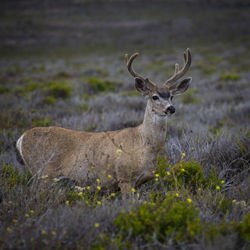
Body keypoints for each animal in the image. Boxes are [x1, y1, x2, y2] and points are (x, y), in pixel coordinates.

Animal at [16, 48, 191, 193]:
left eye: (171, 96)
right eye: (154, 96)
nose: (171, 108)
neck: (144, 144)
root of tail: (21, 138)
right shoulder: (124, 177)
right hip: (43, 173)